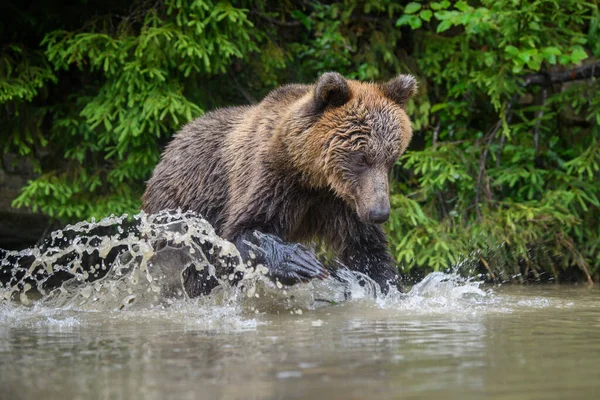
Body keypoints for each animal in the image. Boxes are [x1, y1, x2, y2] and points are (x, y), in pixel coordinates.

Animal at [142, 72, 414, 296]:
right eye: (361, 158)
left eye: (391, 159)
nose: (379, 213)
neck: (311, 175)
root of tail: (173, 142)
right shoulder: (271, 179)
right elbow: (242, 232)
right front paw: (301, 262)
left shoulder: (343, 201)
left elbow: (366, 248)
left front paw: (384, 285)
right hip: (181, 209)